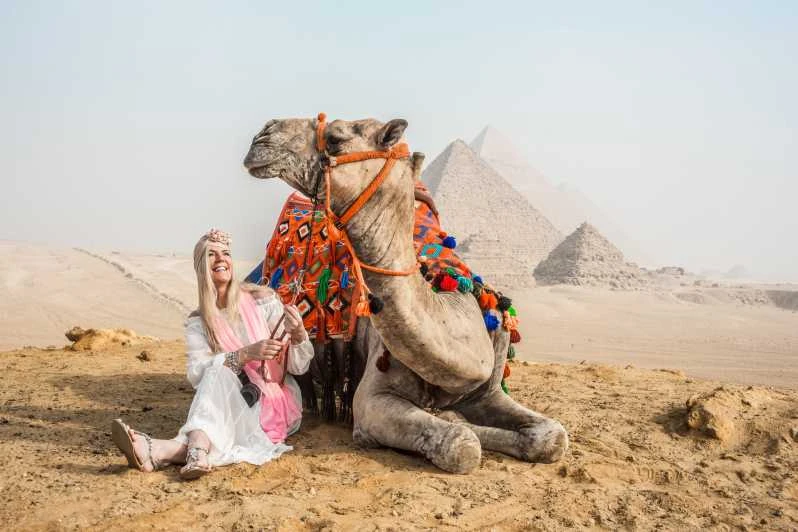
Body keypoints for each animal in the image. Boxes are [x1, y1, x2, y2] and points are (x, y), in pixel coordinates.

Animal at [243, 115, 568, 473]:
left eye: (336, 138)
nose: (263, 135)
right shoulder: (371, 399)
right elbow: (463, 445)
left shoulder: (488, 392)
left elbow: (552, 436)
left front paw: (457, 416)